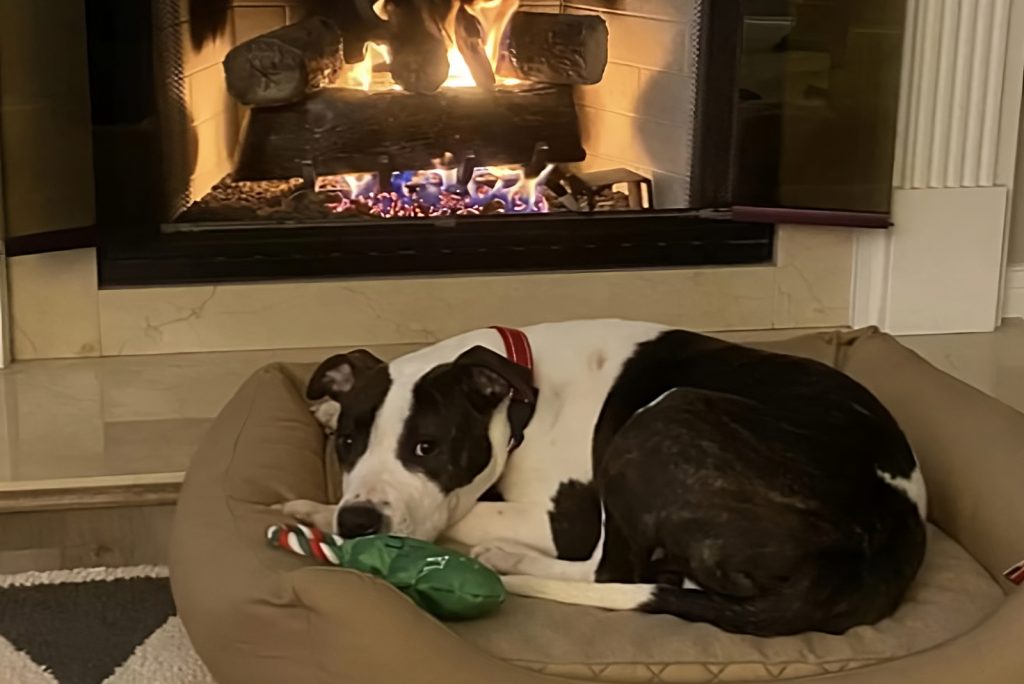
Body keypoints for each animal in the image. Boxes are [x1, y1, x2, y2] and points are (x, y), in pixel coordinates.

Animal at [280, 321, 929, 634]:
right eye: (348, 444)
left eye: (427, 447)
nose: (358, 520)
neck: (520, 384)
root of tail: (880, 543)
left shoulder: (561, 519)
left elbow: (461, 512)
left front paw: (318, 512)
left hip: (660, 419)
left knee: (612, 570)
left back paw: (510, 559)